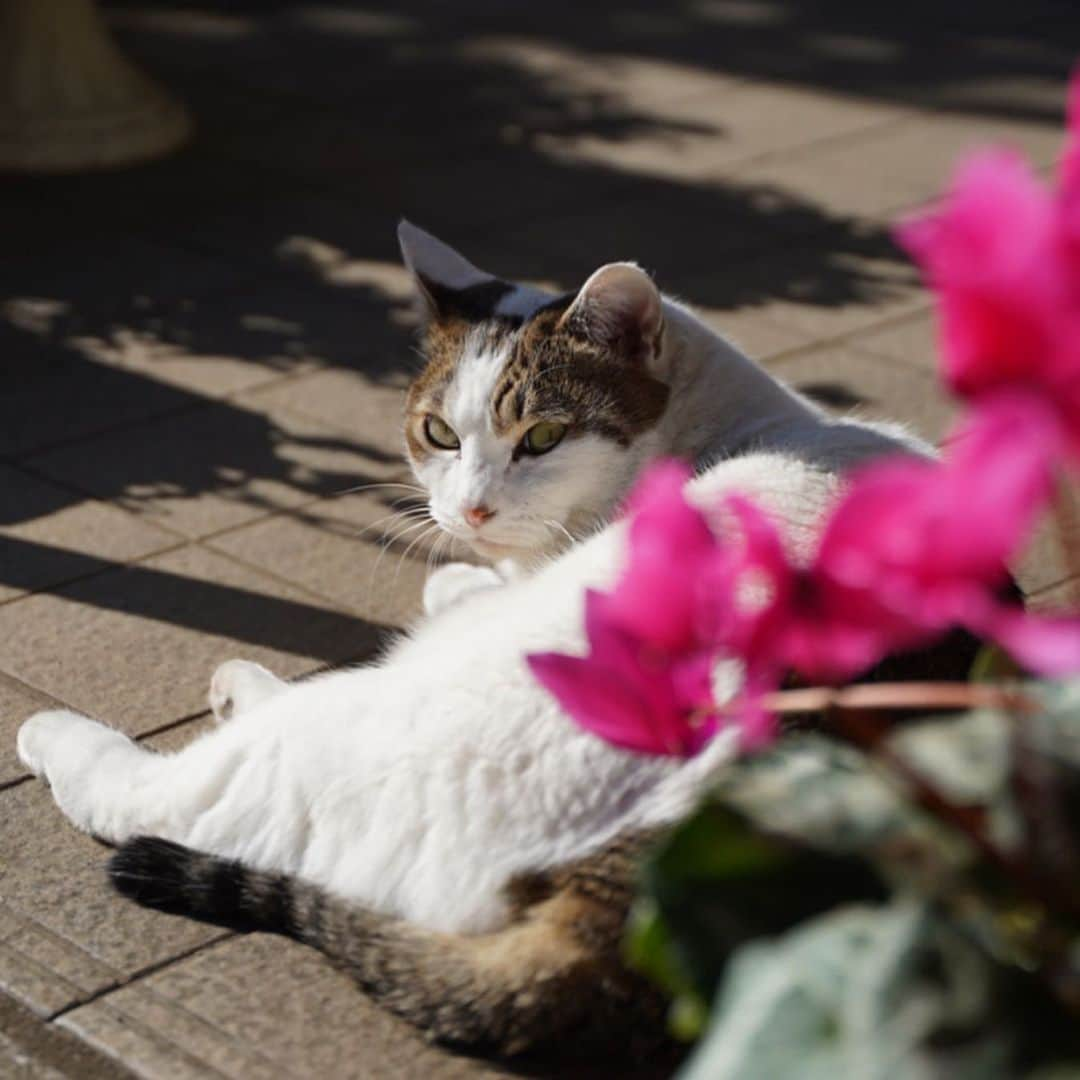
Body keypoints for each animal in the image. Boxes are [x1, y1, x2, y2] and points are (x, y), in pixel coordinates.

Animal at [16, 223, 946, 1058]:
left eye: (543, 436)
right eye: (438, 434)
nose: (469, 511)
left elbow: (451, 591)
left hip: (357, 732)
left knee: (169, 798)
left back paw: (95, 724)